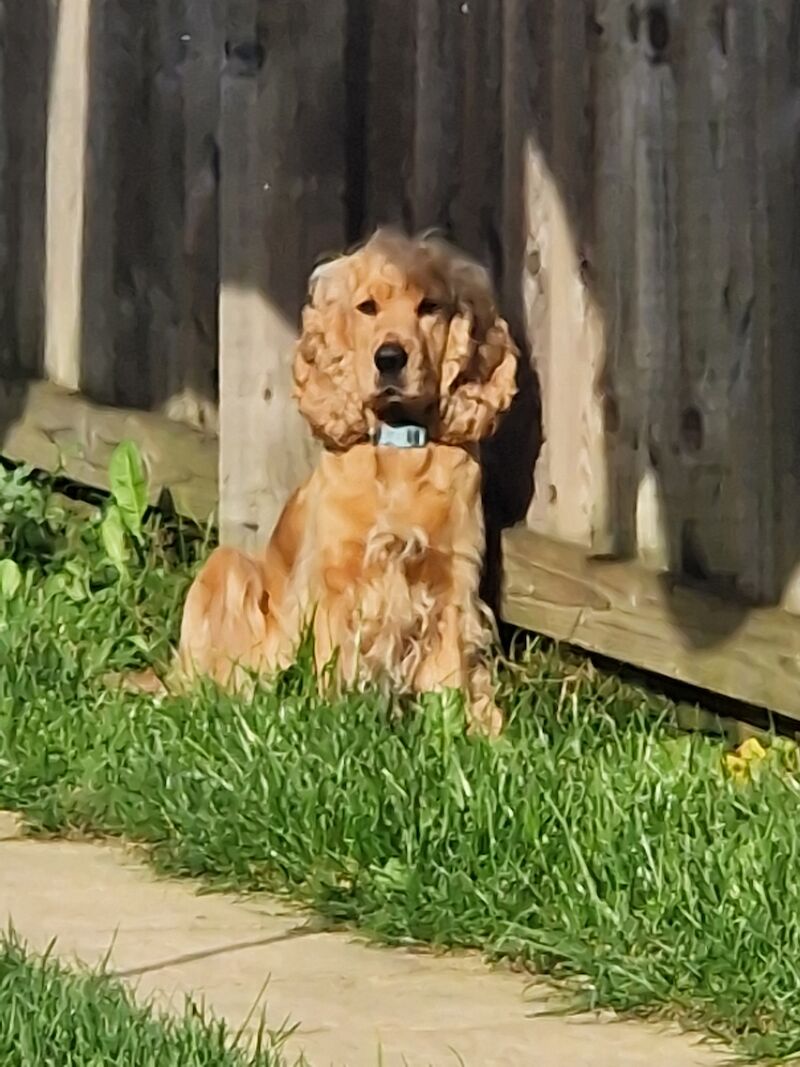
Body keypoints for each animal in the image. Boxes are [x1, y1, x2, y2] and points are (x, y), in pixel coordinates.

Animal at [177, 228, 520, 734]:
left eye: (430, 307)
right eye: (367, 307)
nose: (390, 358)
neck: (396, 447)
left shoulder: (451, 578)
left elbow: (449, 674)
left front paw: (459, 732)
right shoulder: (336, 580)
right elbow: (334, 661)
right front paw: (334, 721)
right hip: (229, 565)